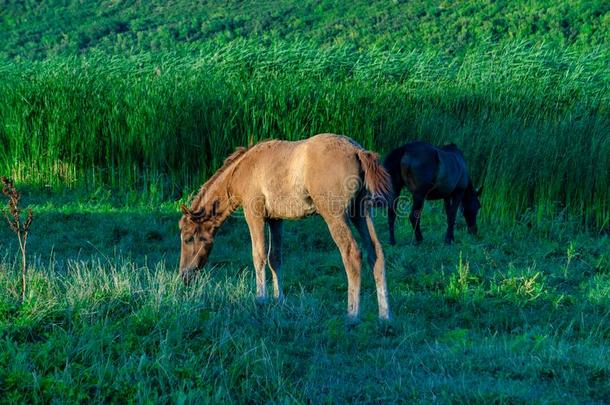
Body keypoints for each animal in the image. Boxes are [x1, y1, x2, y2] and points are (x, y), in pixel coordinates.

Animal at [178, 134, 392, 320]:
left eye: (188, 238)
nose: (184, 275)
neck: (243, 169)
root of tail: (357, 150)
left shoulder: (253, 214)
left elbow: (259, 255)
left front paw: (261, 299)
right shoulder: (275, 219)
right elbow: (275, 257)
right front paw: (278, 299)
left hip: (336, 216)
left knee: (352, 254)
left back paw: (352, 316)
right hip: (361, 214)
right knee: (376, 253)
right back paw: (384, 316)